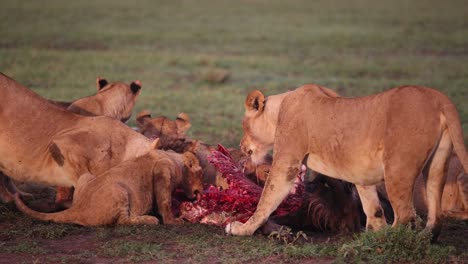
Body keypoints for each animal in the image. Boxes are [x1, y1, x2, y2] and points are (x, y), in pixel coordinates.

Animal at [14, 139, 204, 226]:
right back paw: (148, 219)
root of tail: (78, 209)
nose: (202, 189)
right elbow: (165, 201)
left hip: (86, 176)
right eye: (200, 172)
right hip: (119, 190)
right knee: (122, 221)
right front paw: (172, 221)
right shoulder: (162, 171)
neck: (174, 157)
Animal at [227, 84, 468, 239]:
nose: (240, 145)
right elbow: (372, 207)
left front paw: (242, 229)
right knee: (435, 216)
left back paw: (391, 239)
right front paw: (374, 231)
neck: (280, 108)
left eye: (244, 125)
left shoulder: (287, 161)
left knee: (406, 215)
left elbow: (266, 199)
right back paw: (420, 237)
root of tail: (439, 99)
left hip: (397, 168)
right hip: (437, 166)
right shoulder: (361, 171)